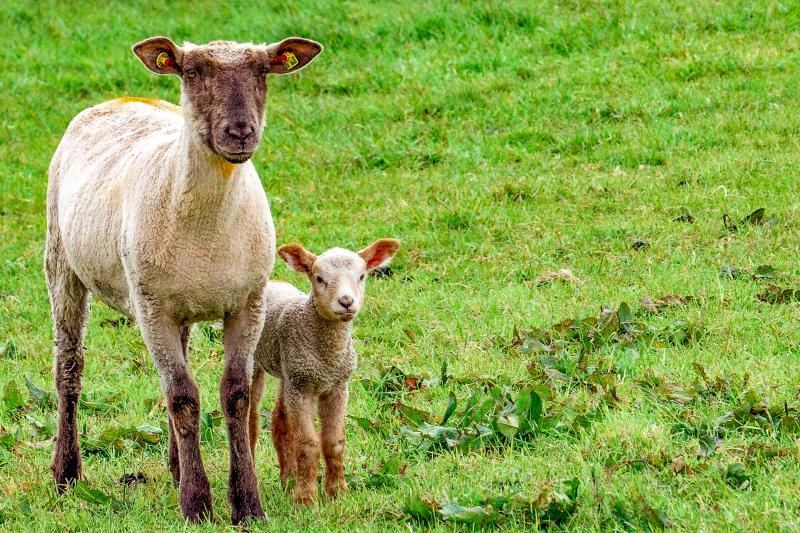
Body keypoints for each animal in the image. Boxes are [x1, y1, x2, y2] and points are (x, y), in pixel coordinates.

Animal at [44, 36, 322, 524]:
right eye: (191, 73)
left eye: (263, 72)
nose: (240, 132)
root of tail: (118, 100)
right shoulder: (151, 307)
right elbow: (183, 398)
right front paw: (197, 504)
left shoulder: (248, 304)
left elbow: (234, 396)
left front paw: (247, 504)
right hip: (63, 263)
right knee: (70, 369)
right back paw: (66, 472)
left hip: (180, 303)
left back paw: (175, 467)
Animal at [247, 238, 401, 504]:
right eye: (319, 278)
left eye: (362, 276)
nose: (346, 301)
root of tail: (273, 282)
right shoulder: (303, 389)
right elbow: (308, 443)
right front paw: (306, 499)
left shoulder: (335, 386)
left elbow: (334, 442)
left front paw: (337, 492)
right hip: (256, 363)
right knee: (251, 421)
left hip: (288, 373)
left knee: (280, 421)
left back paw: (288, 480)